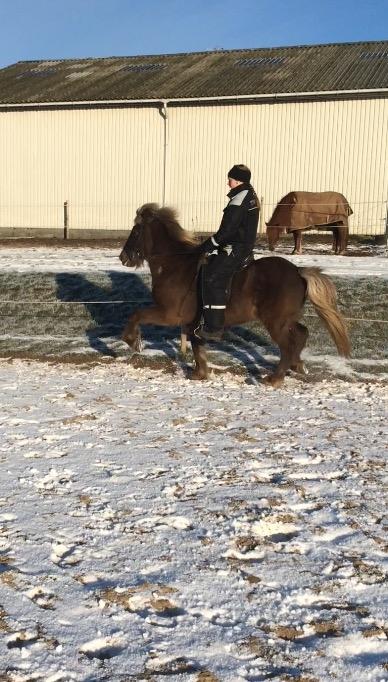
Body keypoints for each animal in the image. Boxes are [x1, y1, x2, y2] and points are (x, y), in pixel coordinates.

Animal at [119, 202, 350, 386]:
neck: (174, 264)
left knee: (287, 345)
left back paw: (275, 379)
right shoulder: (192, 321)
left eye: (136, 230)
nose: (123, 257)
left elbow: (137, 314)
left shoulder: (169, 314)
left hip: (275, 321)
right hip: (287, 319)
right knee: (301, 334)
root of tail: (298, 271)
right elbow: (197, 344)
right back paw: (297, 365)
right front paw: (200, 373)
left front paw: (132, 341)